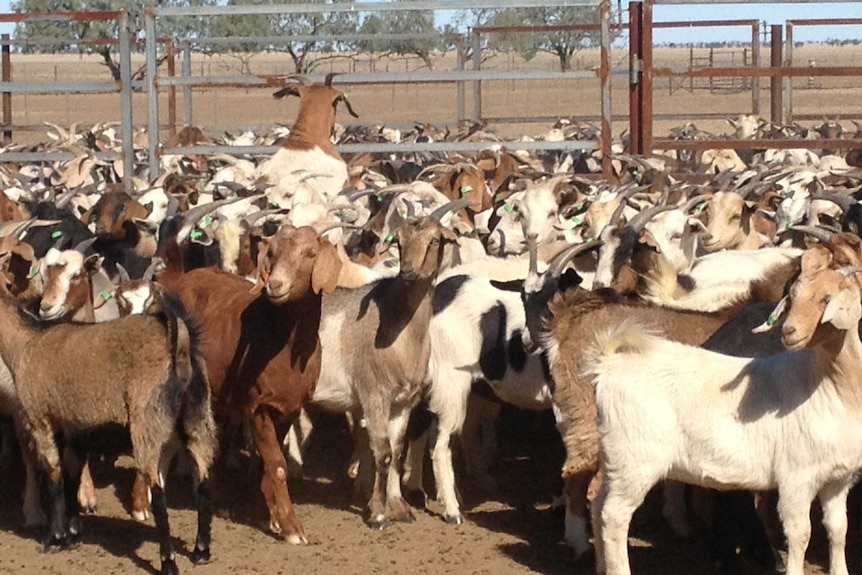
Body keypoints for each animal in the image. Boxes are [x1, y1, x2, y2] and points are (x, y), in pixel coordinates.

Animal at [0, 274, 215, 575]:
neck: (26, 341)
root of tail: (180, 346)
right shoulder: (75, 428)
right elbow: (73, 475)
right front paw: (73, 533)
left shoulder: (40, 419)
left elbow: (54, 476)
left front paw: (55, 539)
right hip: (197, 417)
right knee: (204, 482)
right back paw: (201, 552)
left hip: (147, 421)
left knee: (159, 495)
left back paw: (168, 562)